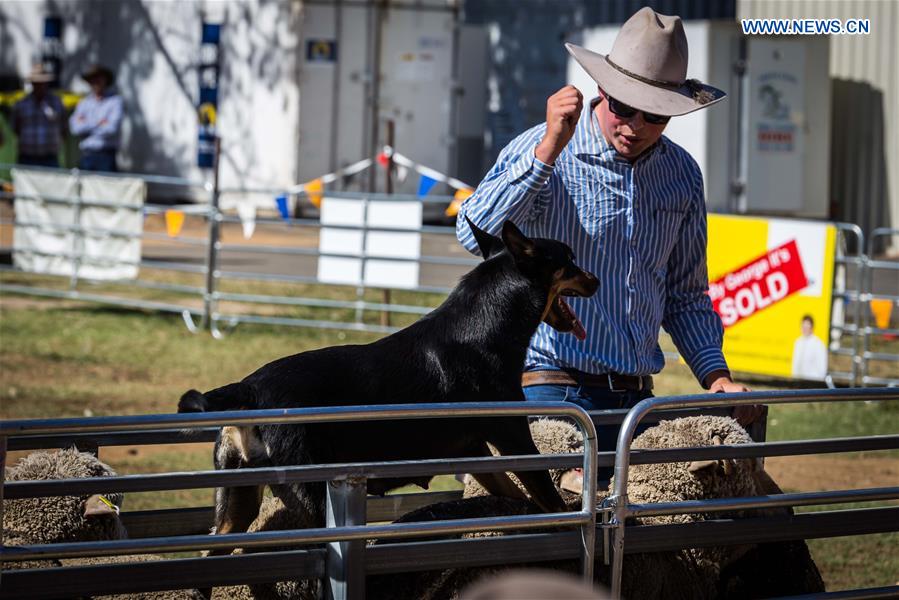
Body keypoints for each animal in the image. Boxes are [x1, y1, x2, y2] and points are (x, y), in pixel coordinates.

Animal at [178, 220, 596, 548]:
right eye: (570, 259)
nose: (595, 278)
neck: (484, 328)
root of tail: (248, 387)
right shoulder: (514, 439)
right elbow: (551, 502)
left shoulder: (475, 452)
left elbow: (520, 498)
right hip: (311, 497)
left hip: (235, 500)